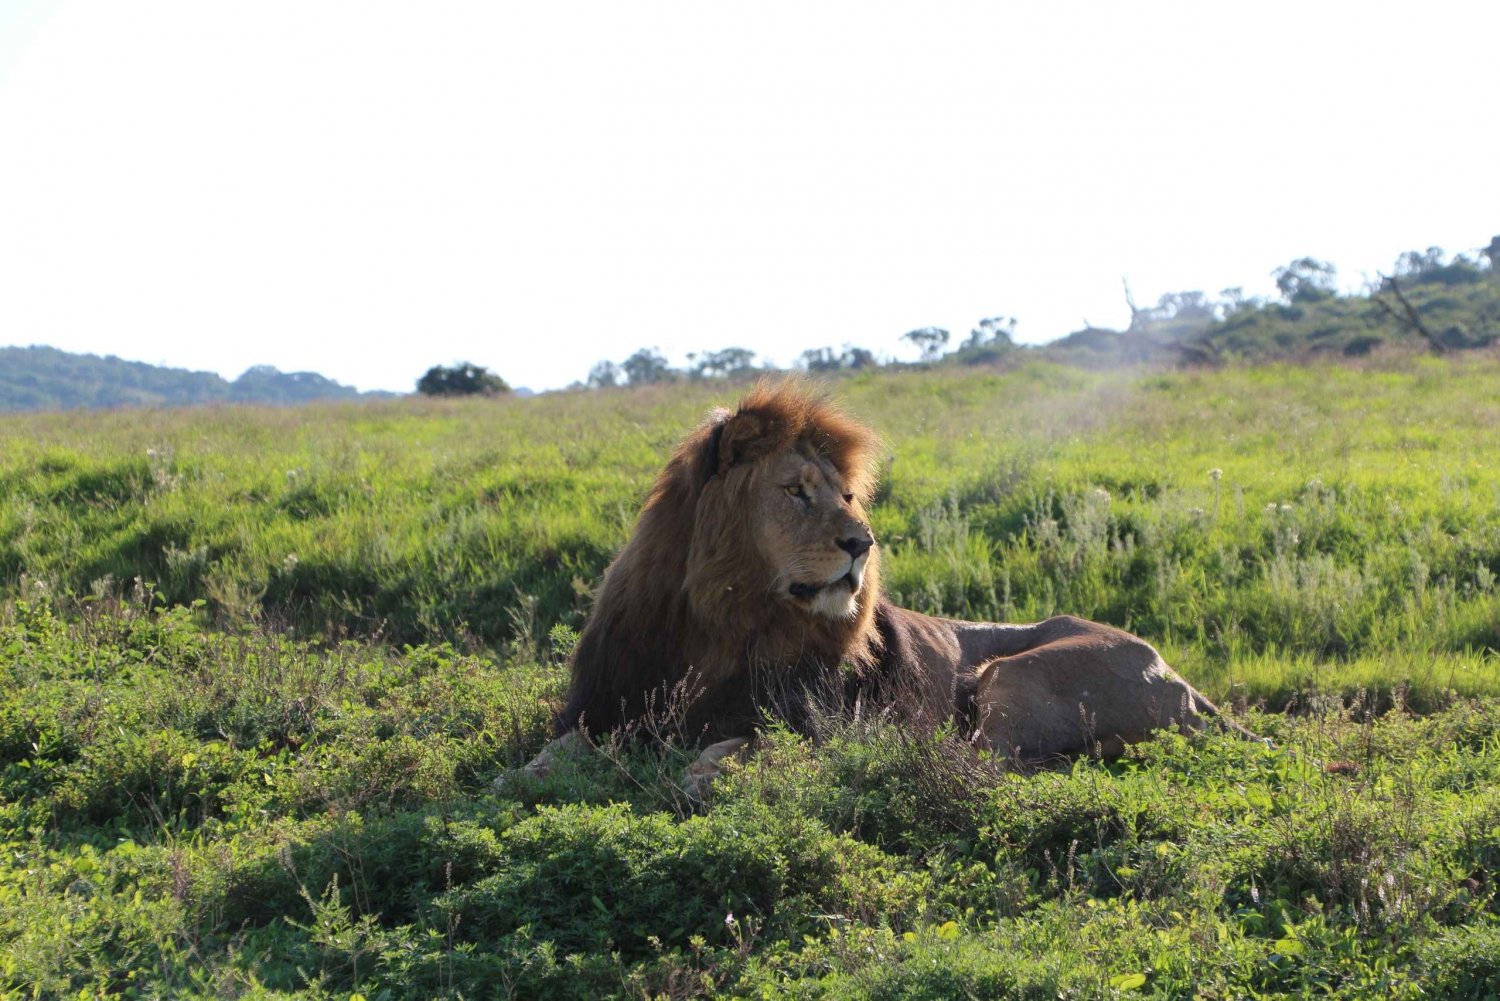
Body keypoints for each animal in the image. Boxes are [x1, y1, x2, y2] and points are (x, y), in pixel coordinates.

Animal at [516, 379, 1254, 792]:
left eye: (846, 496)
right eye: (796, 492)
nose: (862, 543)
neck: (724, 623)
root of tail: (1183, 678)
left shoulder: (815, 724)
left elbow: (742, 747)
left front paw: (703, 773)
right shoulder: (612, 703)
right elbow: (558, 748)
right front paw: (522, 776)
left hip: (1014, 675)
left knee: (987, 761)